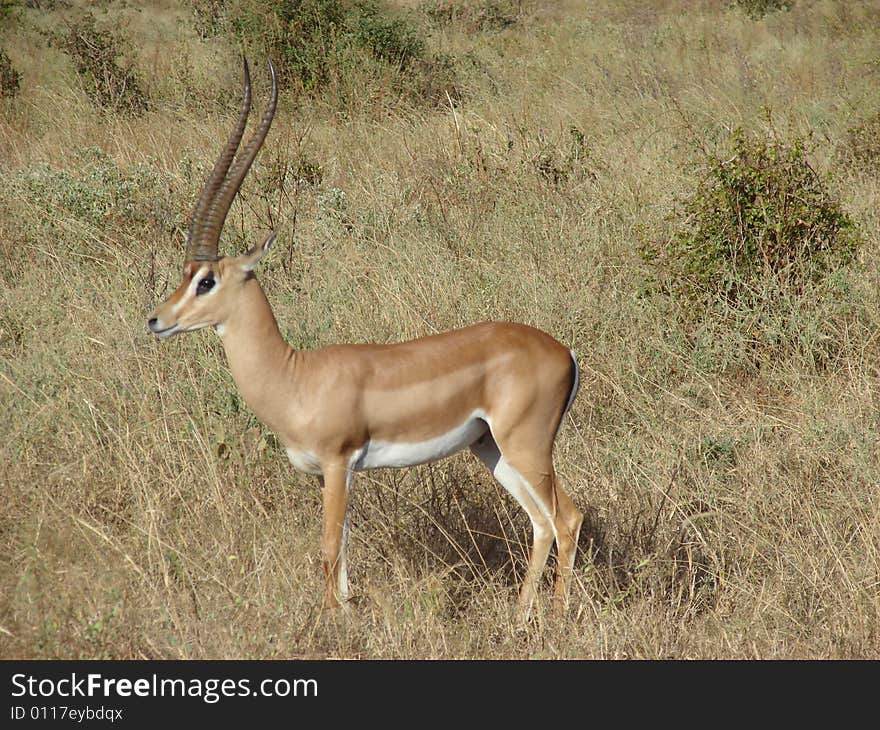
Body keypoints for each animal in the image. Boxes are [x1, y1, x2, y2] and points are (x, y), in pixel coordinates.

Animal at [148, 59, 580, 616]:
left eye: (206, 280)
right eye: (185, 274)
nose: (156, 320)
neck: (296, 376)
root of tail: (563, 351)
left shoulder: (338, 463)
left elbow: (329, 549)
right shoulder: (337, 474)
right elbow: (344, 558)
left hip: (526, 445)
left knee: (566, 518)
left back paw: (555, 614)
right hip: (492, 449)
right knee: (540, 522)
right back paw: (522, 614)